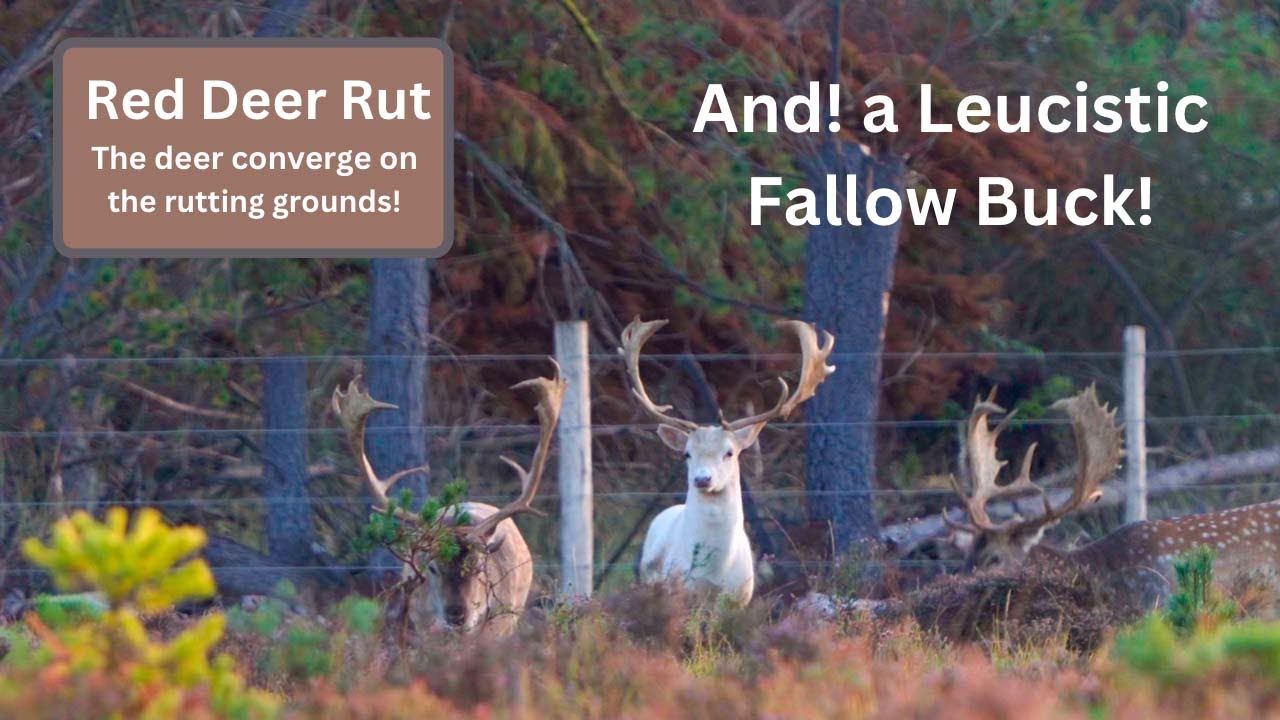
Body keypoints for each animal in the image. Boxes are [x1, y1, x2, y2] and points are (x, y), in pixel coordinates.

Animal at [619, 317, 835, 606]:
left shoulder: (740, 598)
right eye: (687, 453)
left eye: (730, 452)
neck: (714, 573)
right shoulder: (682, 592)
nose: (702, 478)